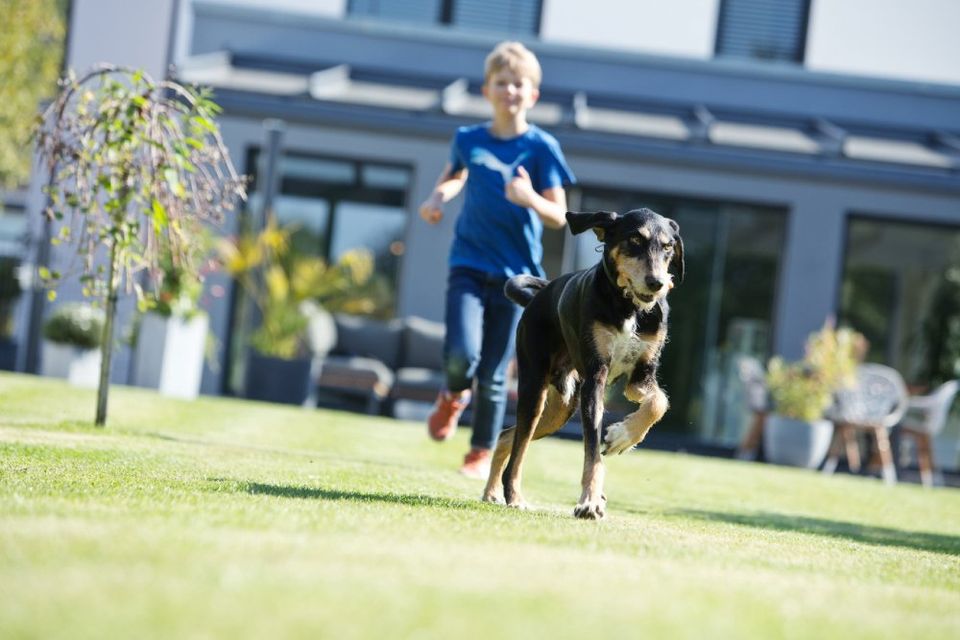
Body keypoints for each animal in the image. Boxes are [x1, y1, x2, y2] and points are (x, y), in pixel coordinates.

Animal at [480, 210, 684, 520]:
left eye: (668, 247)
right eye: (634, 240)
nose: (657, 283)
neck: (628, 306)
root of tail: (539, 295)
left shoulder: (641, 377)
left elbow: (658, 403)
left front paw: (622, 436)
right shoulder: (595, 380)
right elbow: (593, 452)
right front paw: (589, 502)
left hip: (560, 409)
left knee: (506, 437)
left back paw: (491, 492)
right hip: (534, 389)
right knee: (519, 450)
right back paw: (513, 496)